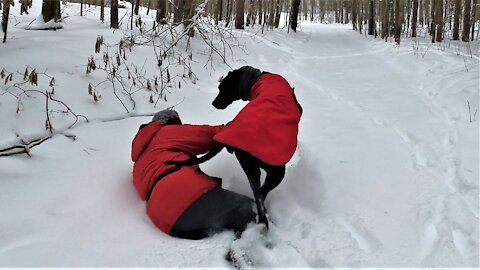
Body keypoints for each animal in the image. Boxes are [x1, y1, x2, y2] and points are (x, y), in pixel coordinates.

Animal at [165, 66, 300, 229]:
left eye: (223, 88)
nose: (214, 103)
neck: (256, 78)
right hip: (275, 171)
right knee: (260, 194)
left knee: (259, 193)